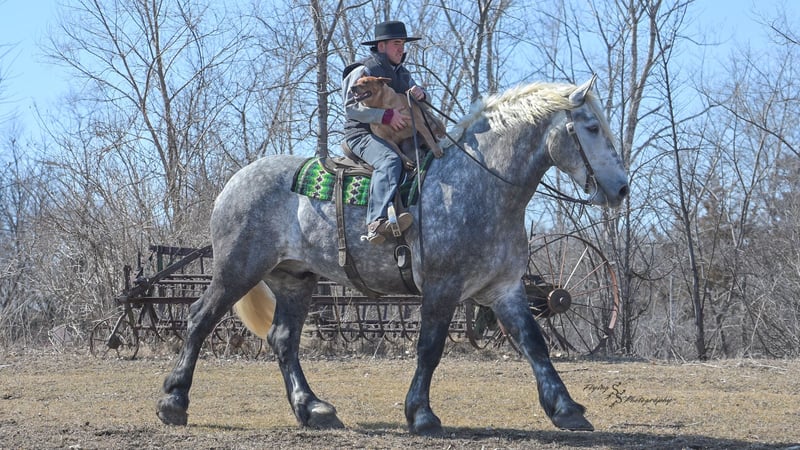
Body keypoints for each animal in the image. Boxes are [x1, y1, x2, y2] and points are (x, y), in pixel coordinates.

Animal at [156, 75, 629, 435]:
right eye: (590, 126)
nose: (622, 188)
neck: (481, 185)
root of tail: (235, 181)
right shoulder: (442, 287)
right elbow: (429, 348)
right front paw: (421, 415)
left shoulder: (504, 288)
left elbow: (534, 344)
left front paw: (566, 409)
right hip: (238, 269)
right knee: (199, 319)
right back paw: (174, 402)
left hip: (294, 279)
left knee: (283, 339)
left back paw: (313, 409)